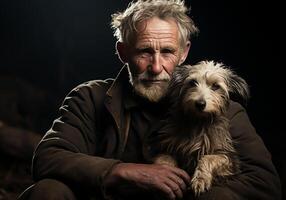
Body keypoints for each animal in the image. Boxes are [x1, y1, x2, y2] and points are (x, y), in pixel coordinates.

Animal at [149, 60, 249, 195]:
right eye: (192, 82)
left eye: (216, 86)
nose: (200, 104)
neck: (198, 122)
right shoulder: (164, 148)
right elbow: (165, 161)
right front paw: (166, 175)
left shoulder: (230, 160)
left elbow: (208, 158)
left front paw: (200, 179)